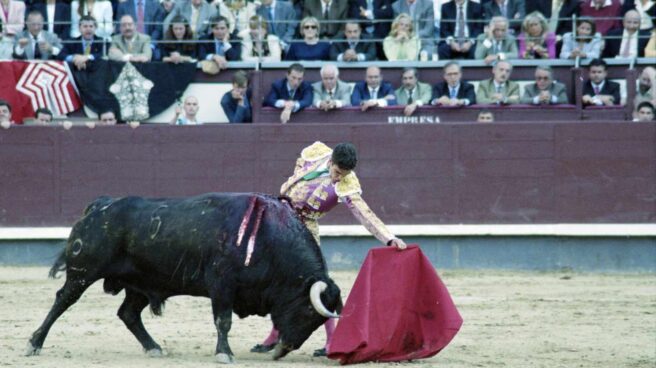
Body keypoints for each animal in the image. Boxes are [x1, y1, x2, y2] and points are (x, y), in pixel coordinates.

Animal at [25, 193, 344, 362]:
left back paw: (153, 347)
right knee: (62, 301)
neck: (266, 238)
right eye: (308, 312)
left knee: (128, 313)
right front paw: (224, 354)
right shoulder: (222, 285)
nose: (283, 351)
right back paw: (34, 344)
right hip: (83, 272)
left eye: (319, 322)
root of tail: (99, 205)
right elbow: (223, 321)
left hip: (140, 284)